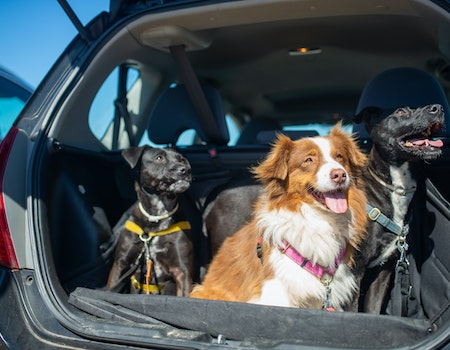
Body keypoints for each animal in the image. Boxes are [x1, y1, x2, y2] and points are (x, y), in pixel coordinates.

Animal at [108, 145, 194, 296]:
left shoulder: (182, 271)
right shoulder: (120, 264)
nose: (185, 169)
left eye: (182, 159)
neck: (157, 218)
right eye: (159, 158)